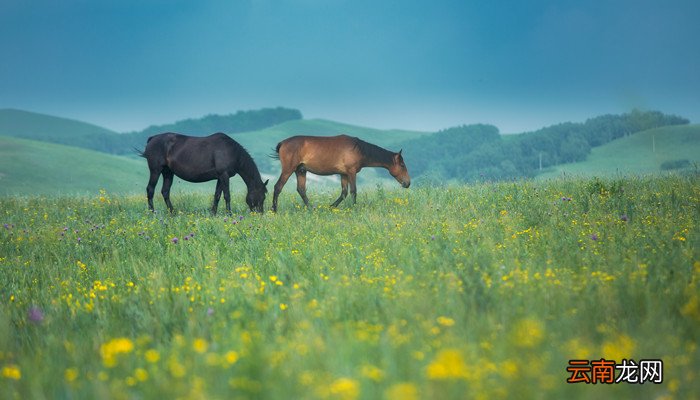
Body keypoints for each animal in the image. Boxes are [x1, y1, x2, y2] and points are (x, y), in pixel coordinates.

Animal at [139, 132, 268, 214]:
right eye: (262, 196)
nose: (260, 214)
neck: (232, 151)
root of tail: (152, 138)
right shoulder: (224, 175)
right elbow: (227, 196)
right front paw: (229, 214)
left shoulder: (220, 177)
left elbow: (217, 195)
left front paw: (213, 213)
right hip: (155, 171)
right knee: (150, 189)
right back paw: (152, 212)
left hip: (168, 172)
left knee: (165, 192)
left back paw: (172, 212)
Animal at [270, 134, 410, 211]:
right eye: (402, 165)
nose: (408, 183)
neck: (358, 149)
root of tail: (283, 143)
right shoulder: (351, 172)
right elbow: (353, 191)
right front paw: (354, 208)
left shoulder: (343, 174)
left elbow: (344, 193)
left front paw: (331, 207)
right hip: (288, 170)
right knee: (278, 187)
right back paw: (274, 210)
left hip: (301, 171)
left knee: (301, 190)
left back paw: (312, 209)